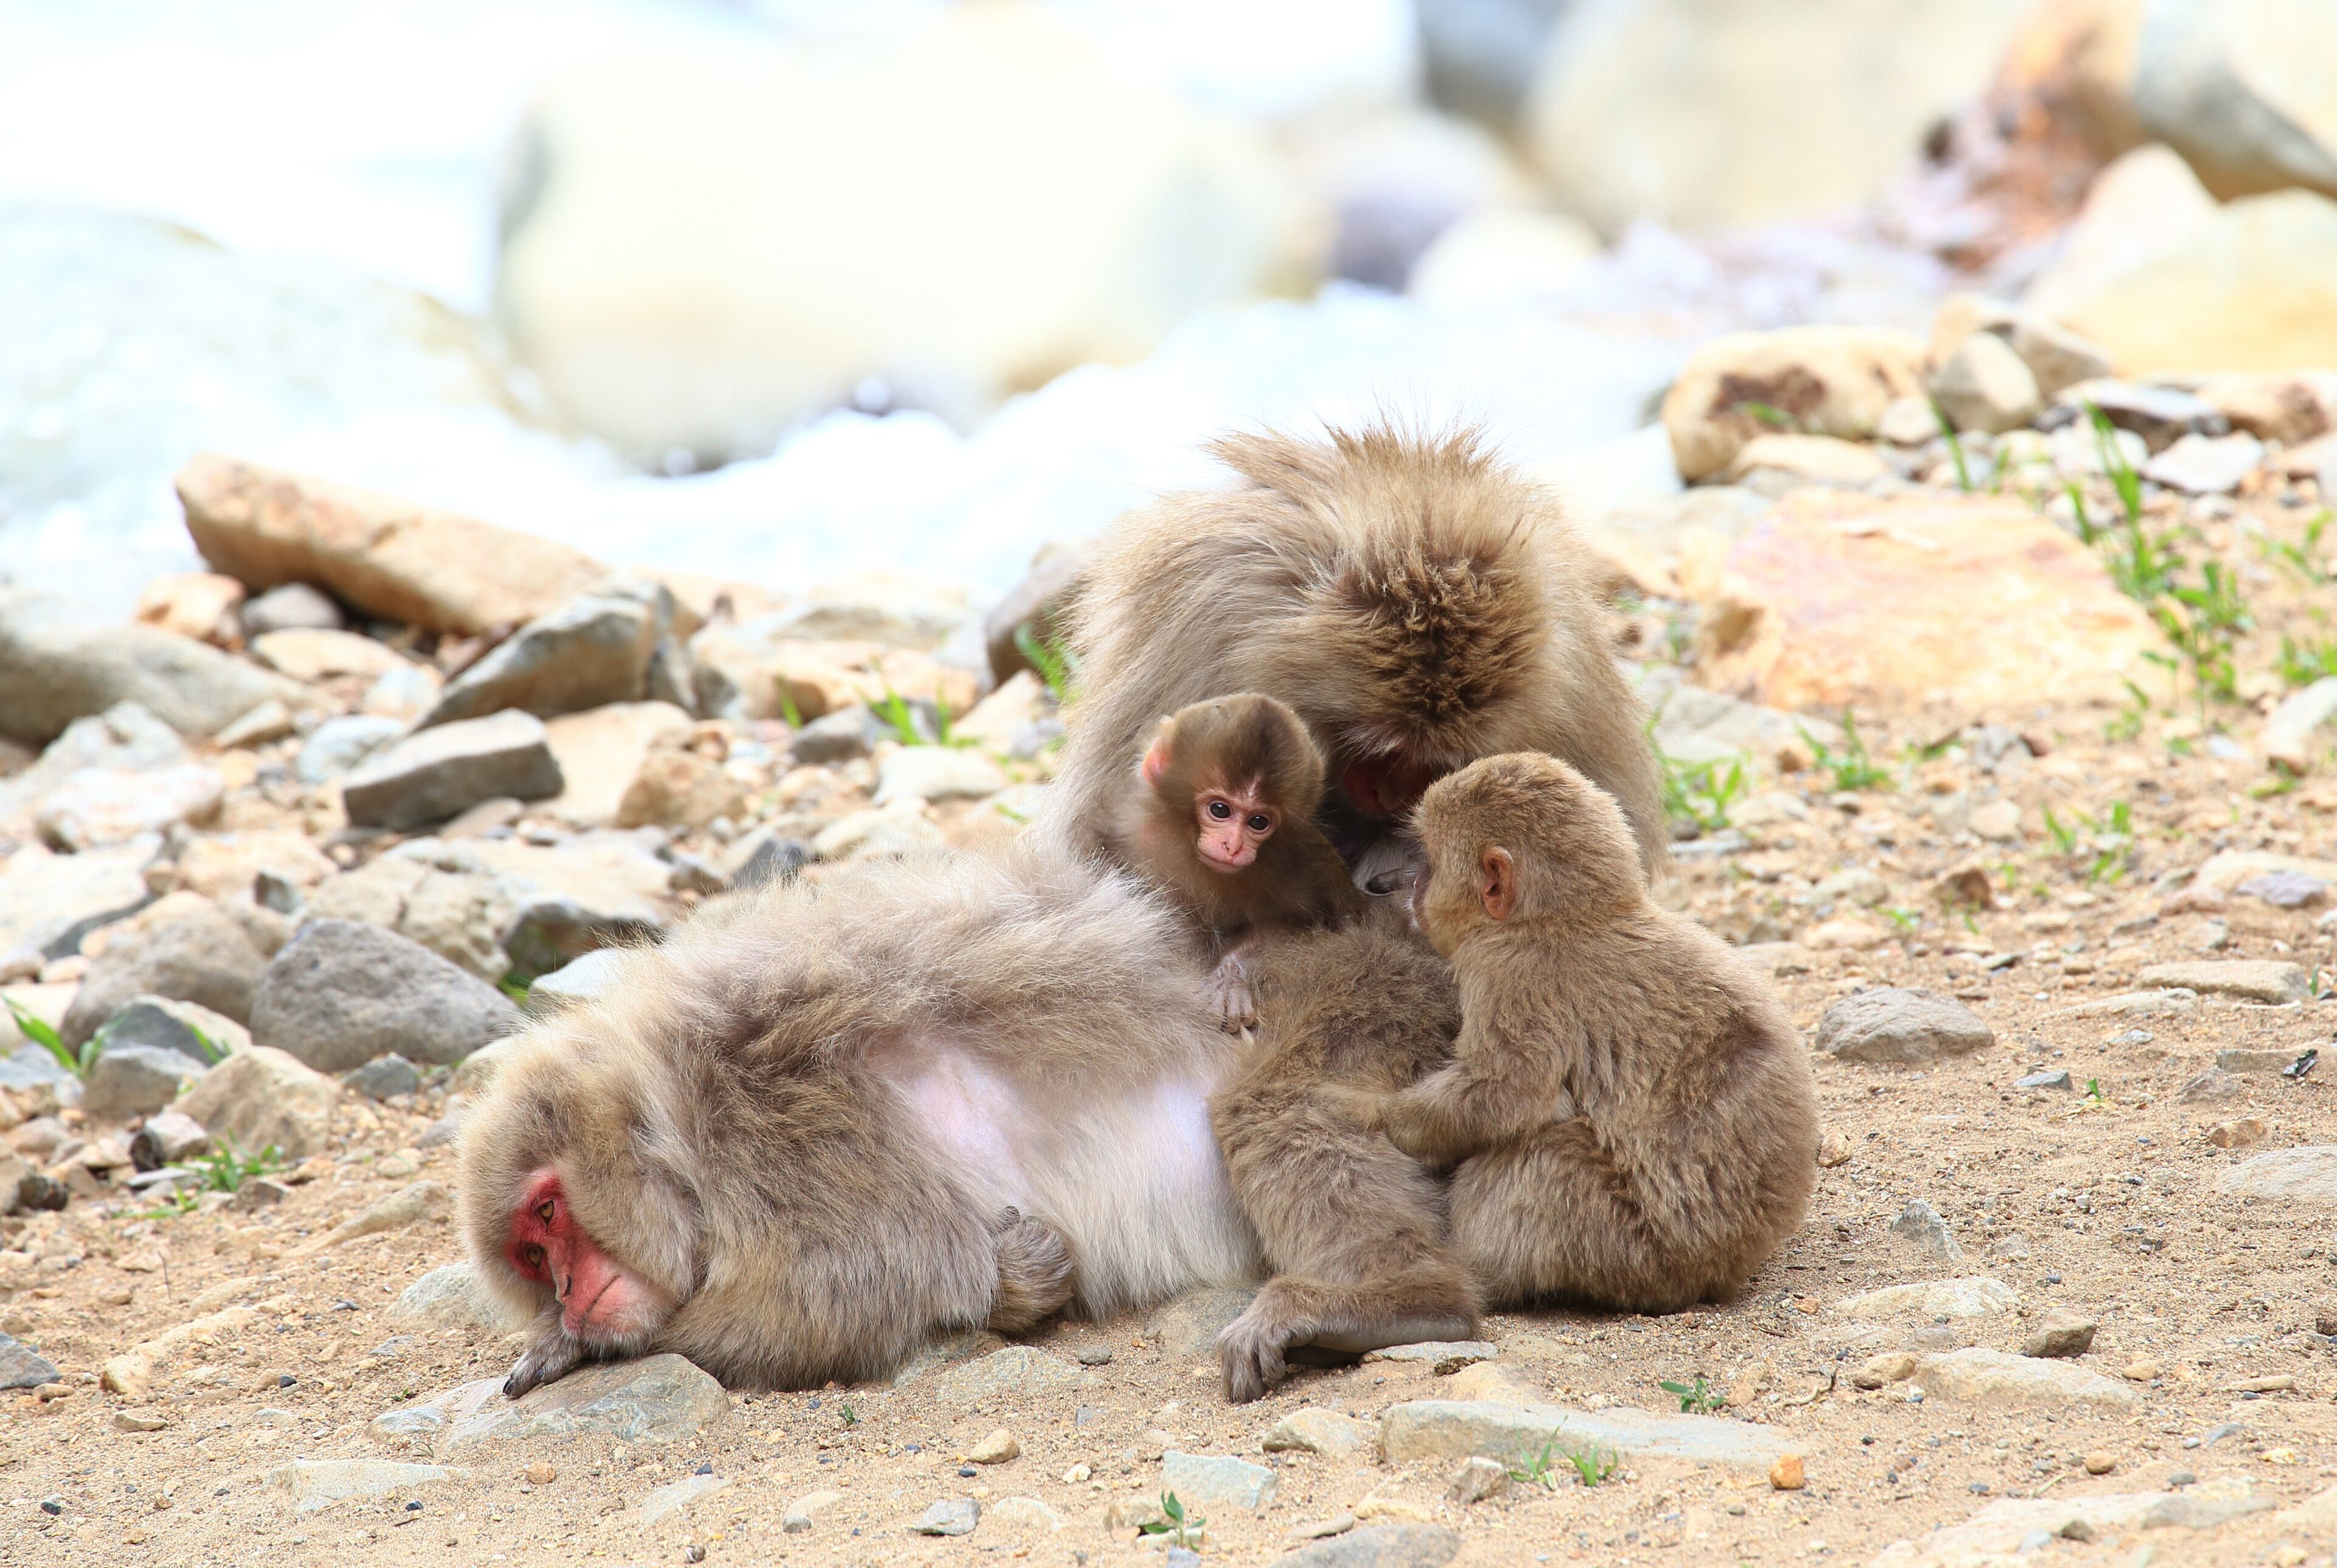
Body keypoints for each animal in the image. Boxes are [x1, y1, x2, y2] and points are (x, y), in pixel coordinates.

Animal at [460, 839, 1265, 1395]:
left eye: (548, 1213)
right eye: (532, 1257)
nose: (567, 1291)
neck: (675, 1134)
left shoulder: (777, 1137)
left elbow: (837, 1297)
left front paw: (573, 1347)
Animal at [1115, 694, 1368, 1029]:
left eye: (1259, 822)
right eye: (1220, 810)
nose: (1233, 846)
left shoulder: (1298, 859)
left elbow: (1303, 923)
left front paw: (1230, 977)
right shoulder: (1142, 838)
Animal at [1333, 753, 1817, 1313]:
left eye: (1428, 863)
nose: (1398, 886)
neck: (1568, 918)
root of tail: (1720, 1270)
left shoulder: (1510, 975)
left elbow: (1505, 1094)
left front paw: (1382, 1115)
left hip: (1627, 1247)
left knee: (1542, 1157)